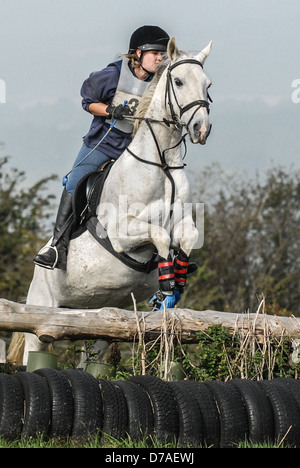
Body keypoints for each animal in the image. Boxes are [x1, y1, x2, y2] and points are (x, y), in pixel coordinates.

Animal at [7, 37, 213, 366]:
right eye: (179, 82)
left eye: (208, 84)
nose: (201, 130)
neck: (161, 164)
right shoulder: (121, 232)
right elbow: (159, 235)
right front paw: (167, 284)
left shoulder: (182, 222)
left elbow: (187, 237)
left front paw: (174, 285)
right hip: (42, 311)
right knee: (32, 348)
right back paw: (50, 256)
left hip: (97, 319)